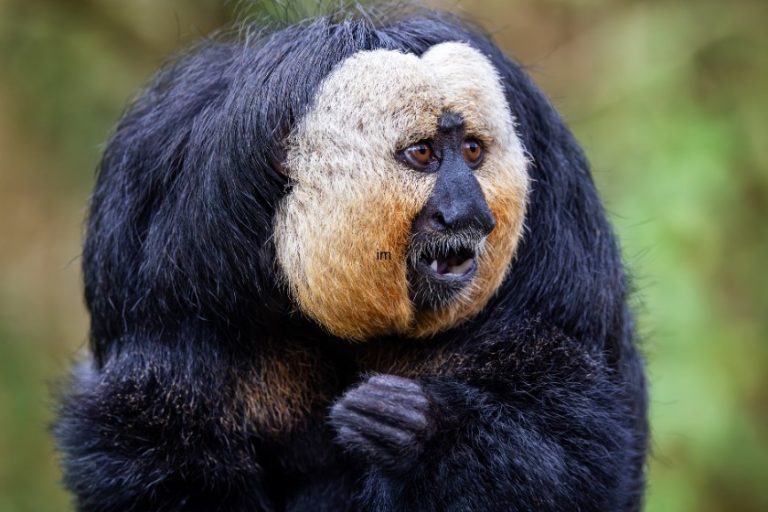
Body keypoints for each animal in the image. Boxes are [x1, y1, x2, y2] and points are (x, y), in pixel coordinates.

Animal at [54, 5, 649, 512]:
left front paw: (419, 434)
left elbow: (578, 453)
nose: (469, 212)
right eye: (423, 154)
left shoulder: (558, 213)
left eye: (473, 151)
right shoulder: (162, 241)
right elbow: (155, 443)